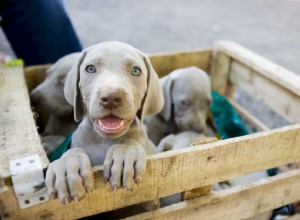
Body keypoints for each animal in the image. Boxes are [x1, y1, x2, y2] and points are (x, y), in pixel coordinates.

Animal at [45, 40, 164, 205]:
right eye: (90, 68)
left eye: (135, 71)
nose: (111, 97)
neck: (104, 140)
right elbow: (74, 150)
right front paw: (68, 166)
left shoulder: (151, 200)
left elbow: (129, 141)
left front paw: (124, 154)